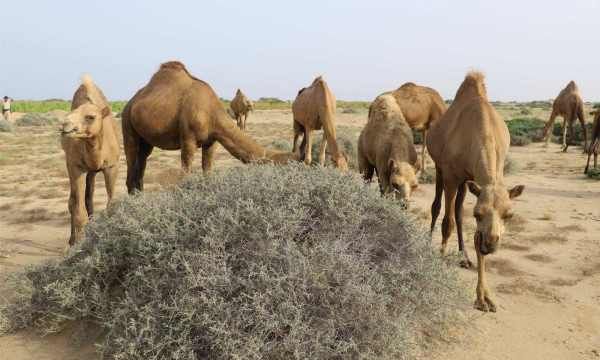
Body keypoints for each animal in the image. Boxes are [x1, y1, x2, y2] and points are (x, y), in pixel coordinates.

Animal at [60, 74, 120, 246]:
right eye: (70, 114)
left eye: (90, 117)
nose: (65, 126)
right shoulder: (76, 167)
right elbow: (79, 211)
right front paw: (78, 245)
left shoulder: (111, 166)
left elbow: (111, 205)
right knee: (73, 201)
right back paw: (72, 240)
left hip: (93, 172)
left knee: (89, 198)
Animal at [120, 61, 298, 194]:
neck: (211, 111)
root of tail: (130, 103)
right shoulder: (188, 138)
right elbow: (186, 170)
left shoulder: (212, 140)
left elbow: (207, 169)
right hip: (127, 123)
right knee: (131, 159)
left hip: (145, 139)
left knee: (142, 161)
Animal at [426, 71, 524, 312]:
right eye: (477, 213)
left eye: (509, 215)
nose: (491, 243)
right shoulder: (451, 175)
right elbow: (447, 223)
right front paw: (440, 260)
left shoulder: (475, 180)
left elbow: (472, 233)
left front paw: (484, 298)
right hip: (440, 169)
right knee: (437, 207)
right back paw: (428, 243)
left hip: (465, 181)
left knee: (458, 211)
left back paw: (464, 256)